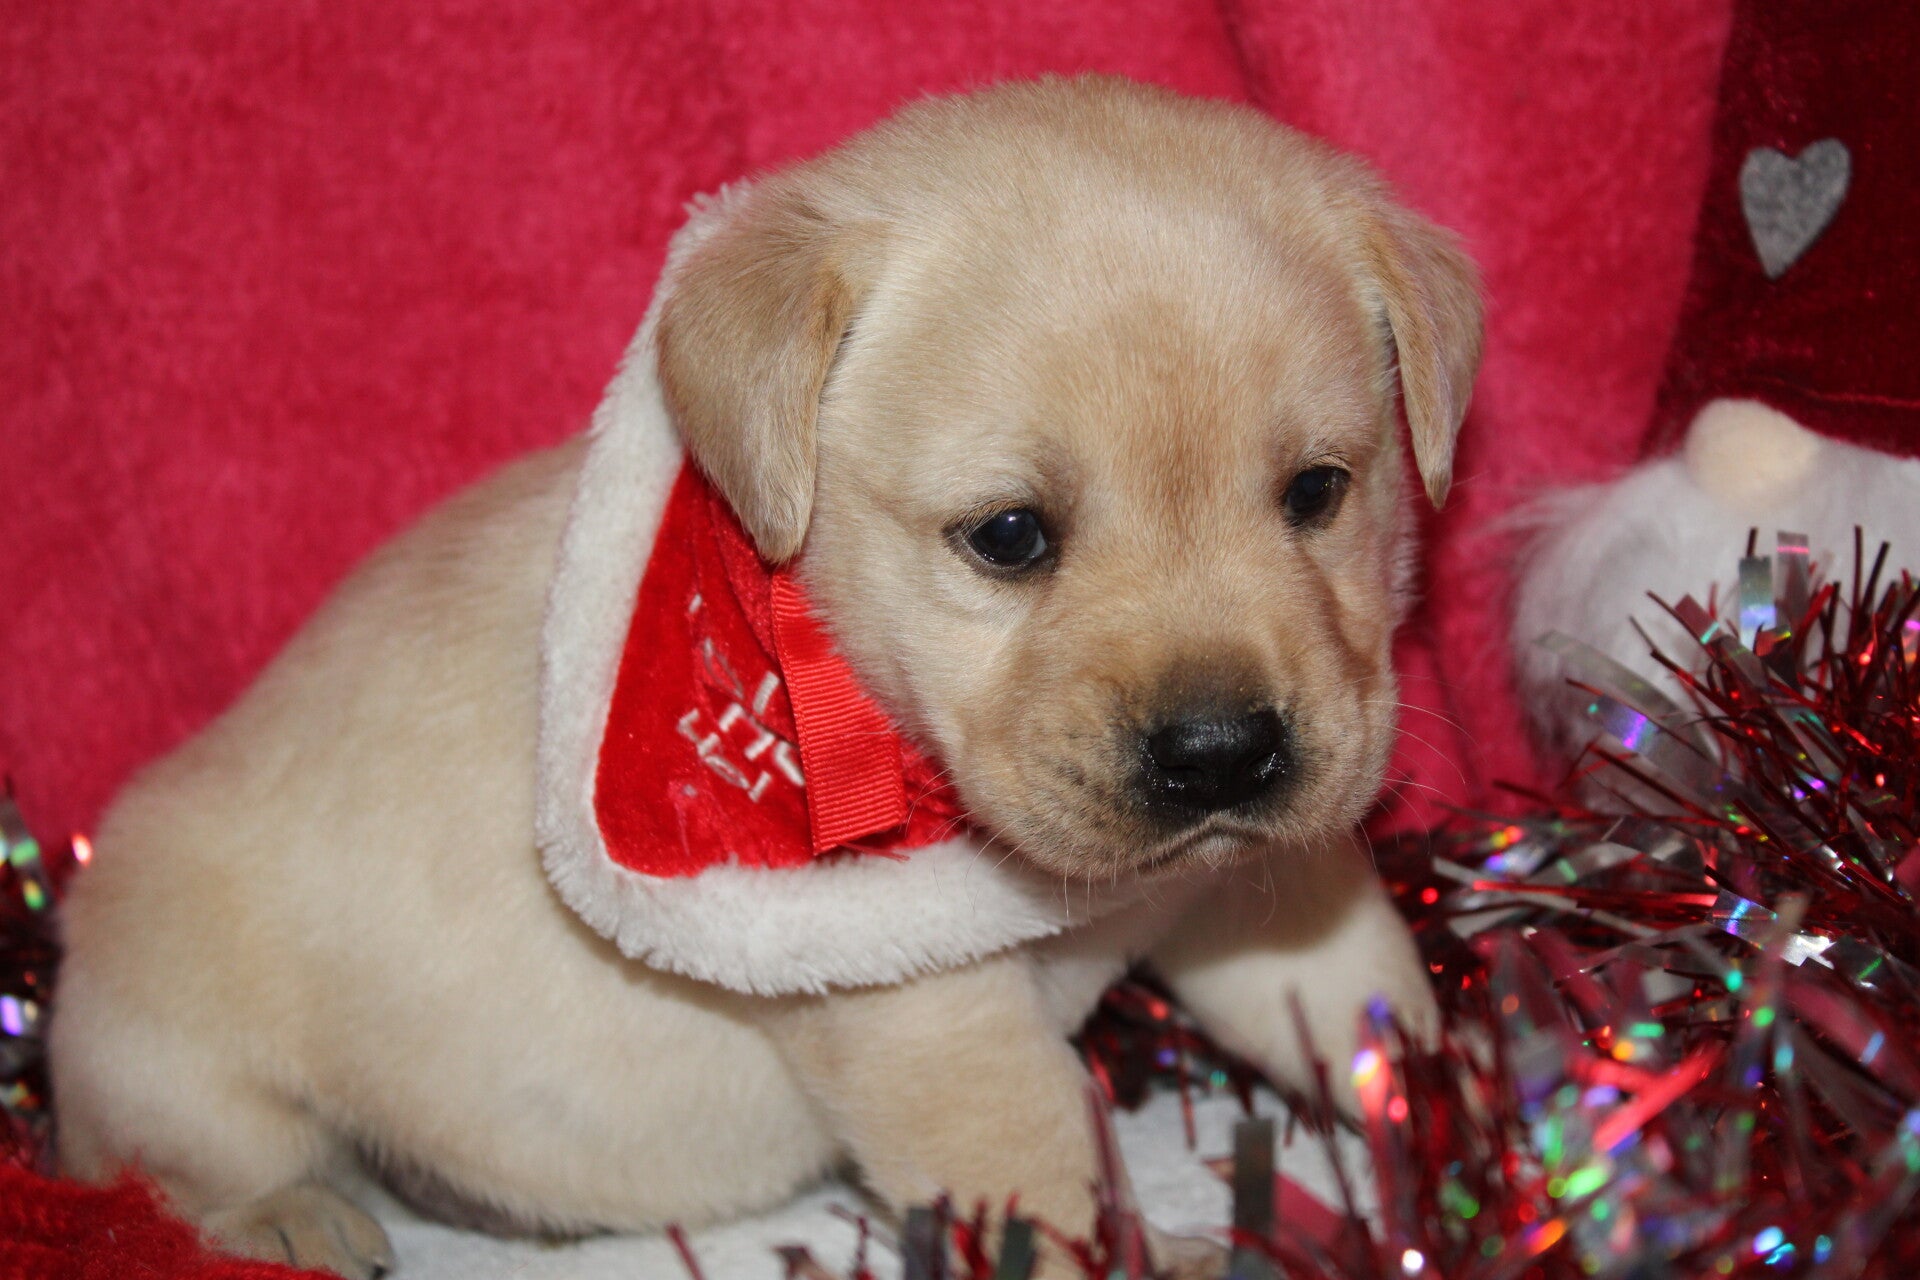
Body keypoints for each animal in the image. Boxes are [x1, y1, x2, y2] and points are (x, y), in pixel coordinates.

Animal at [50, 75, 1480, 1277]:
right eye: (1011, 535)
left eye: (1318, 491)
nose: (1221, 750)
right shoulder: (922, 1015)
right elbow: (1044, 1174)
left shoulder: (1238, 881)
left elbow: (1353, 986)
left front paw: (1454, 1125)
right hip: (166, 1021)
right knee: (157, 1160)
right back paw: (285, 1214)